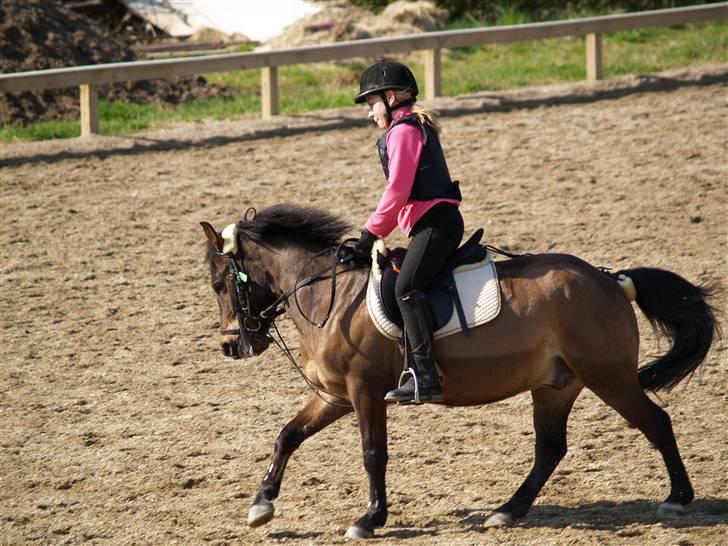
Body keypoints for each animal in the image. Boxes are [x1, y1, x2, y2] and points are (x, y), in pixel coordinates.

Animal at [200, 203, 716, 536]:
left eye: (221, 283)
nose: (231, 345)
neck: (328, 294)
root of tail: (609, 279)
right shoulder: (334, 395)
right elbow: (287, 435)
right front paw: (261, 505)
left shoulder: (364, 391)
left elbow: (373, 454)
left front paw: (370, 519)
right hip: (556, 384)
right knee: (550, 448)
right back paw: (507, 511)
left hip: (608, 377)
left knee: (655, 422)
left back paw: (677, 498)